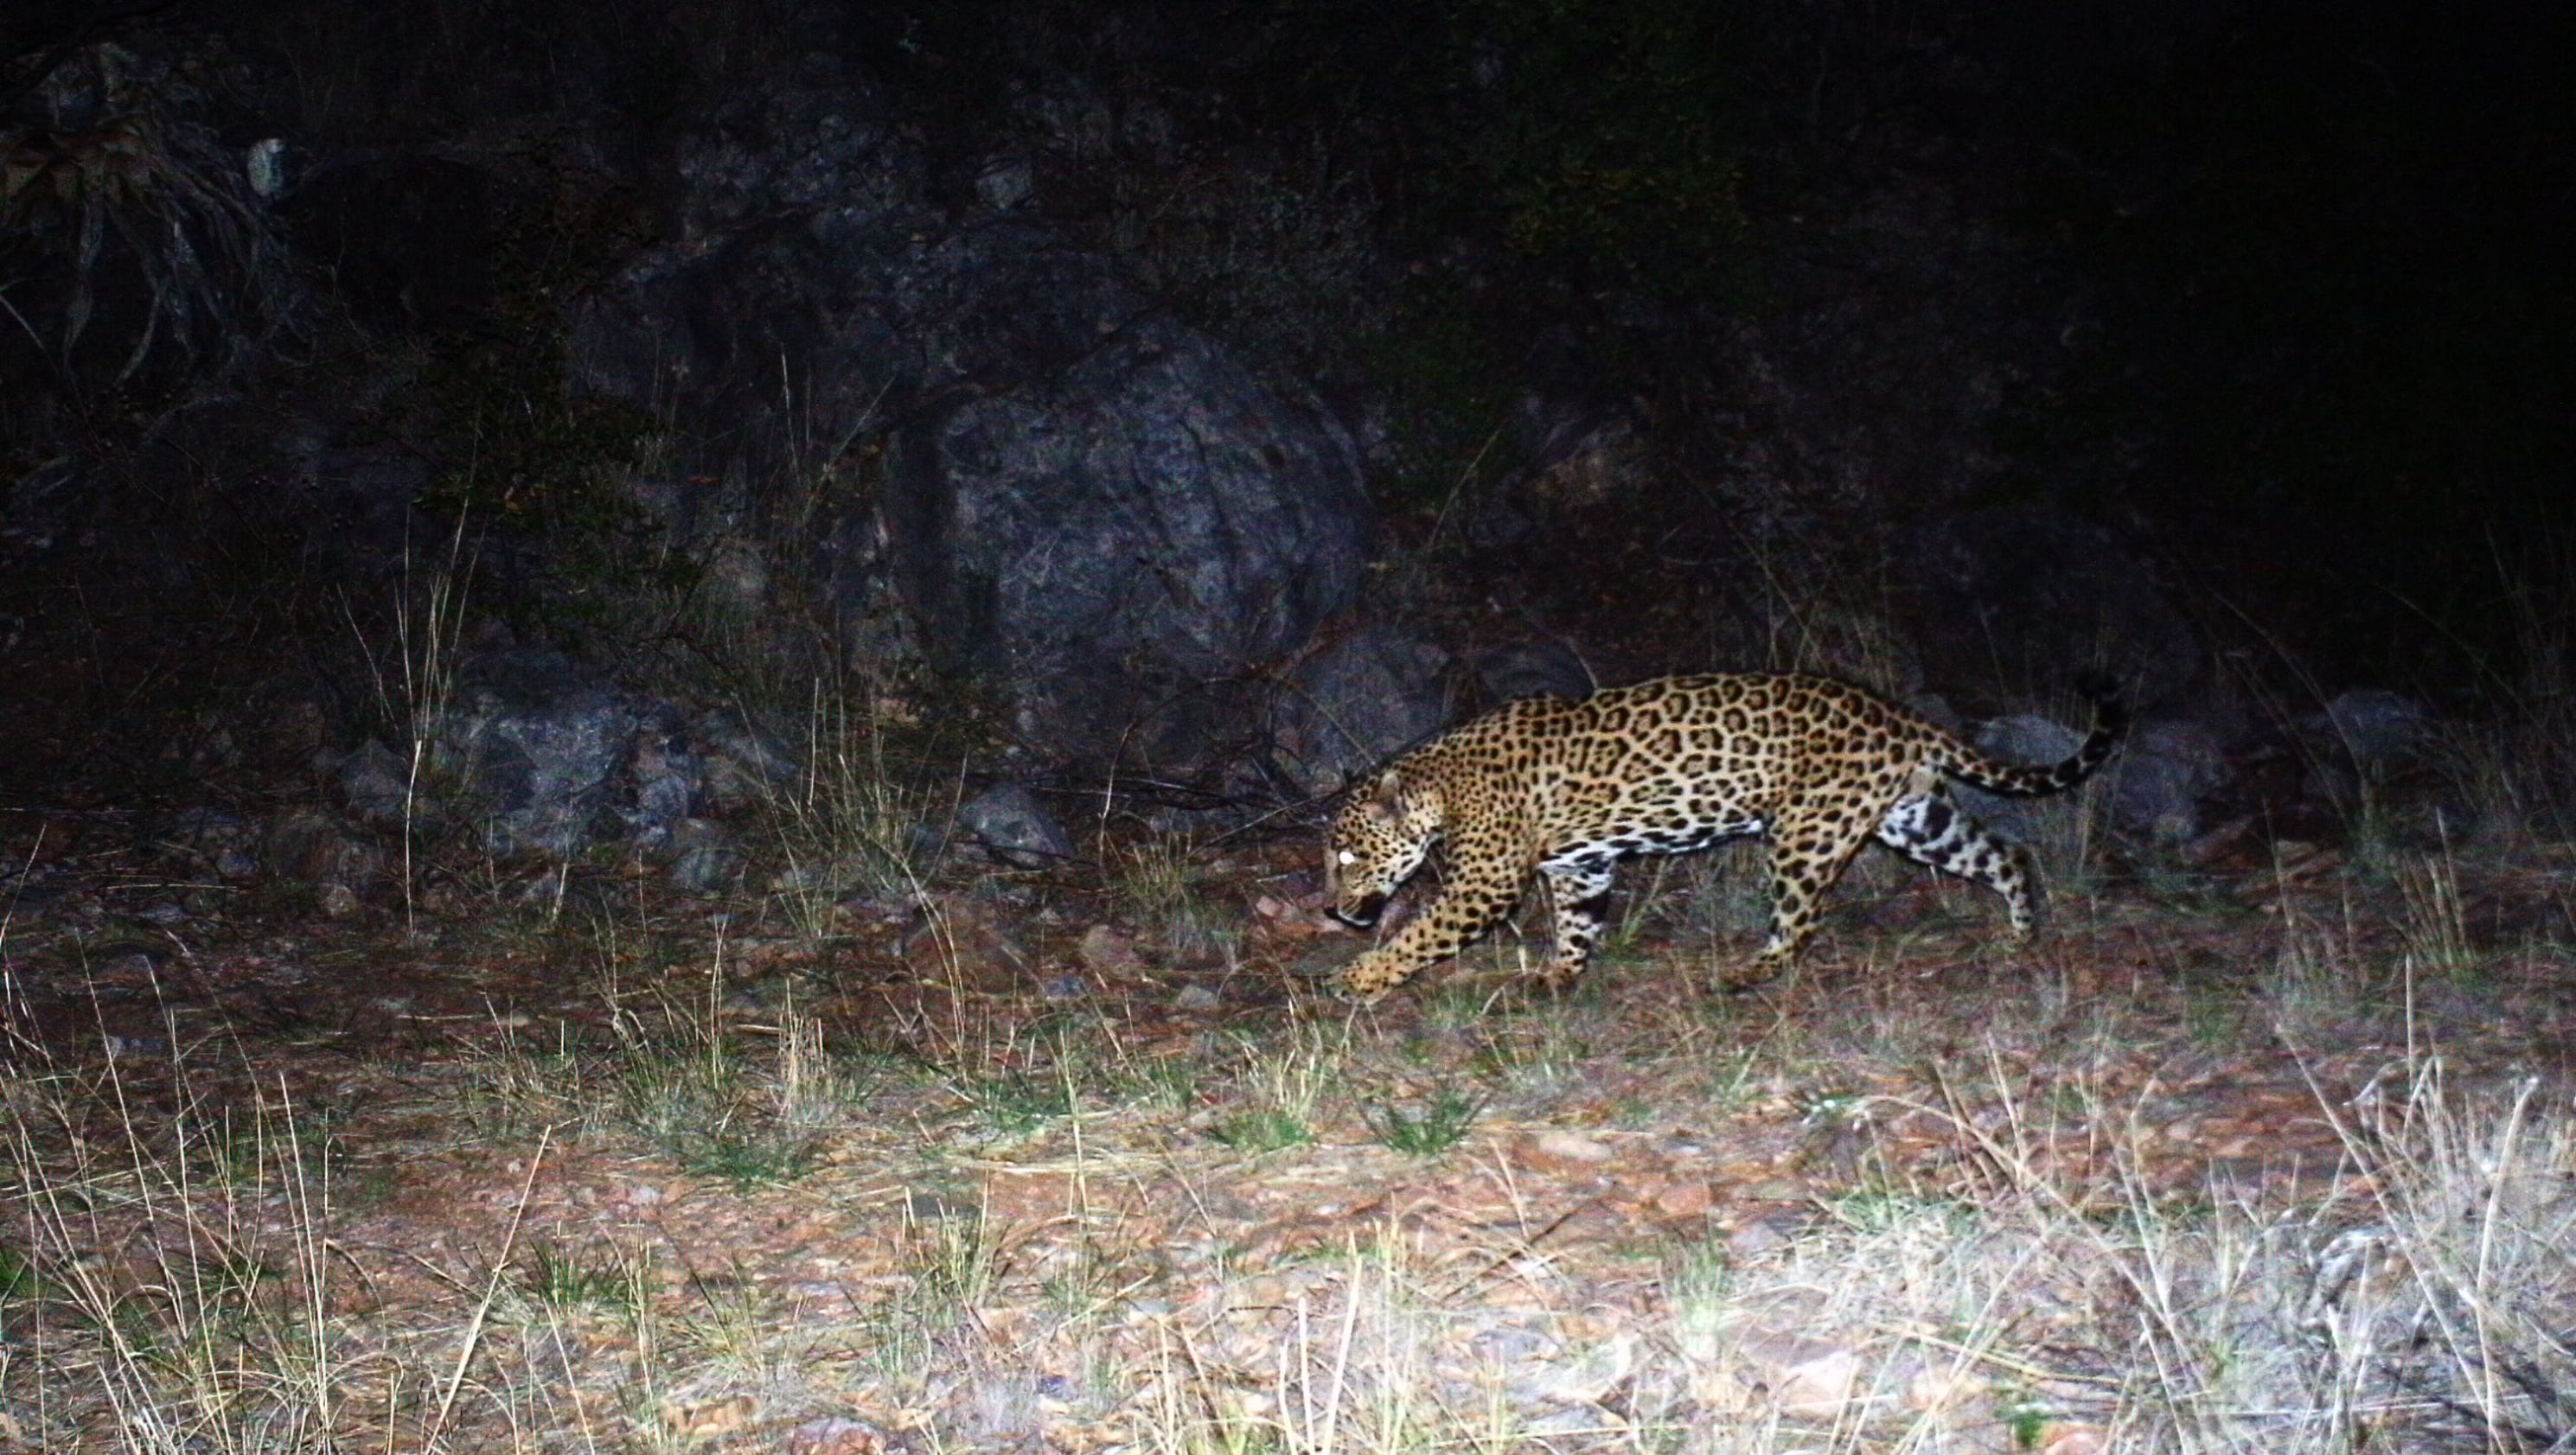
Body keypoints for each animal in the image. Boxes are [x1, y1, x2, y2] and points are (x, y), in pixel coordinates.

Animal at [1323, 671, 2126, 1003]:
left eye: (1348, 856)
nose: (1329, 908)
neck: (1439, 783)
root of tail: (1897, 716)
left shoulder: (1483, 884)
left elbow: (1417, 934)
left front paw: (1358, 978)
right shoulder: (1582, 866)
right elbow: (1576, 926)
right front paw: (1558, 975)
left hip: (1806, 834)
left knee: (1798, 925)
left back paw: (1746, 974)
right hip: (1914, 820)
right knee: (2004, 852)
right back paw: (2020, 936)